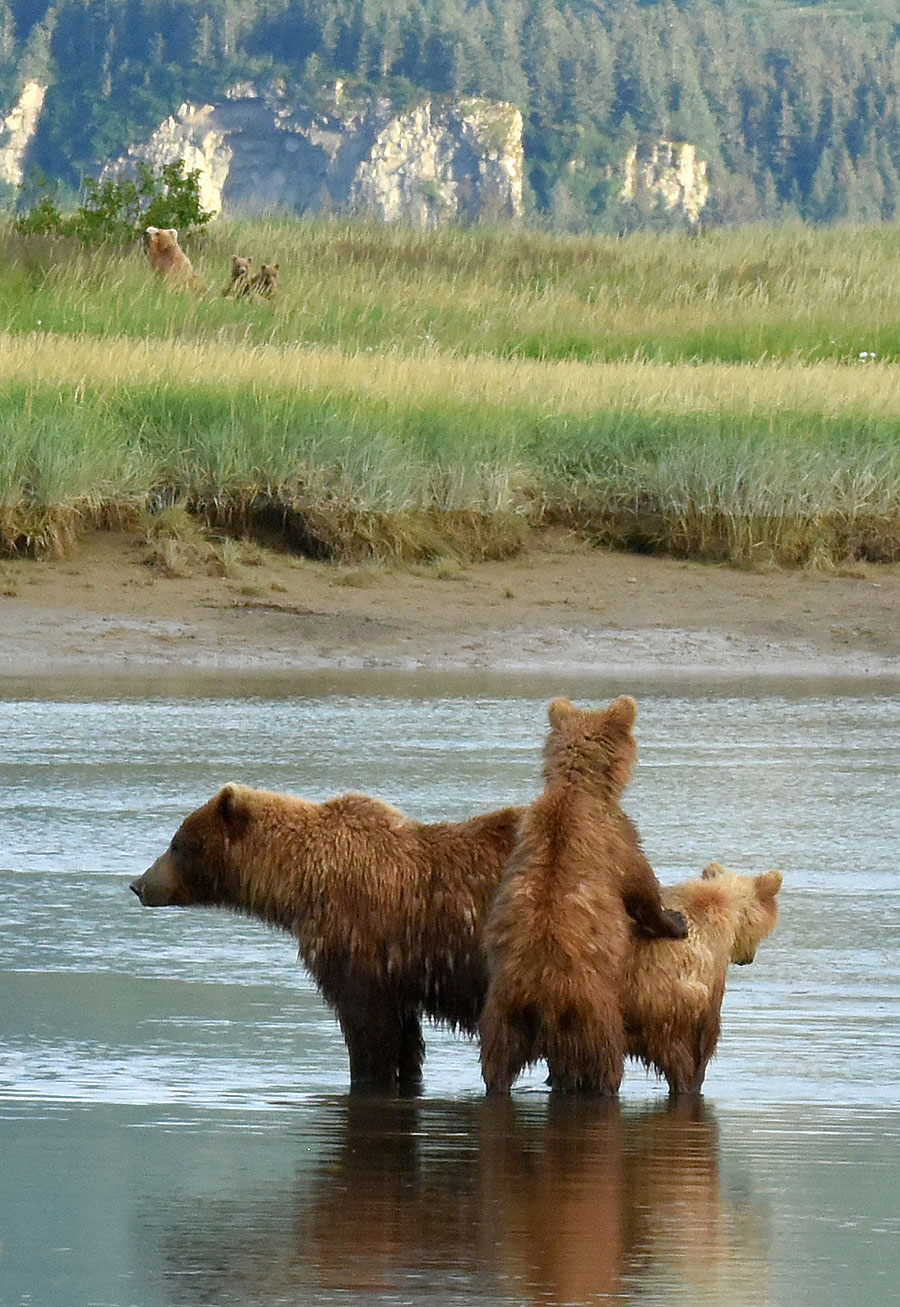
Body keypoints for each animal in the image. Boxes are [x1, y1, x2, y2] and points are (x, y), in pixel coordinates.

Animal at [130, 784, 522, 1092]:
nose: (139, 884)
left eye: (177, 845)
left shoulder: (358, 942)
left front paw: (368, 1074)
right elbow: (407, 1041)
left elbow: (368, 1031)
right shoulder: (399, 972)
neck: (302, 883)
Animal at [480, 700, 684, 1097]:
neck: (577, 787)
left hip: (503, 1017)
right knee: (604, 1063)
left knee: (496, 1066)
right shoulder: (618, 840)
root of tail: (542, 1000)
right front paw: (676, 920)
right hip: (593, 1014)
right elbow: (642, 887)